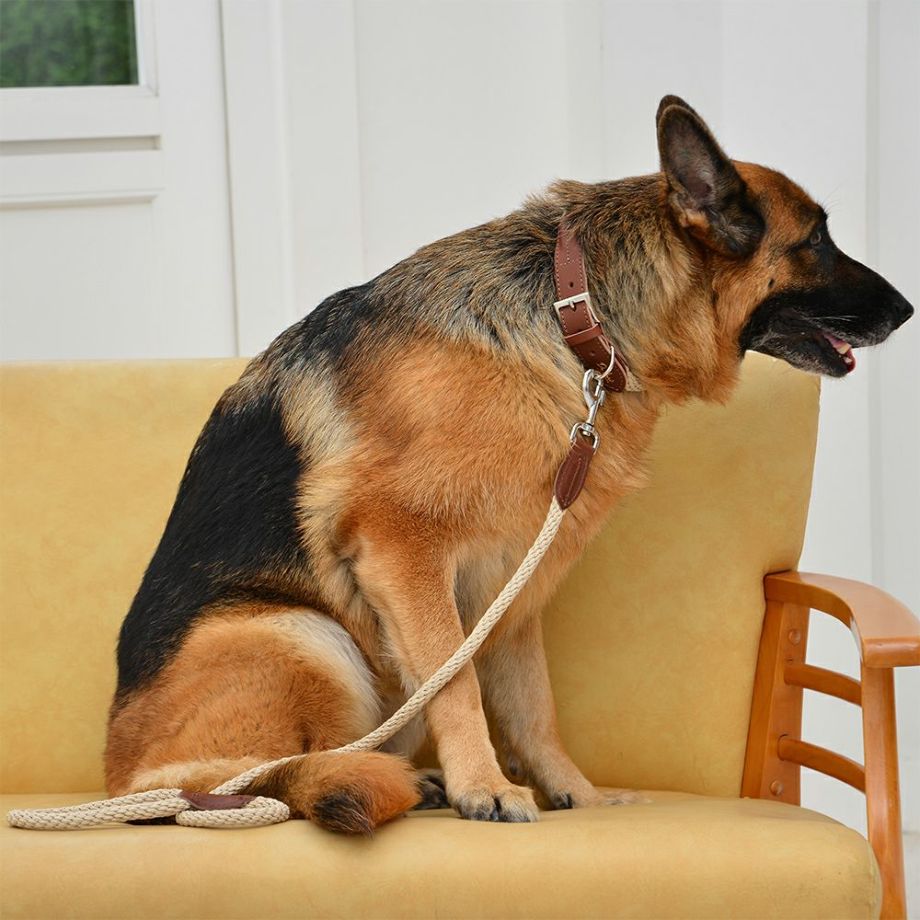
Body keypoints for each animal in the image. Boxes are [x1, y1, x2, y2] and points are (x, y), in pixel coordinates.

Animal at [105, 95, 913, 834]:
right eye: (817, 240)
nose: (907, 310)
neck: (573, 313)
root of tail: (122, 780)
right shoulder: (403, 549)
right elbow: (456, 683)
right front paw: (485, 787)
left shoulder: (516, 579)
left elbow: (533, 707)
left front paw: (574, 794)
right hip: (303, 634)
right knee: (265, 778)